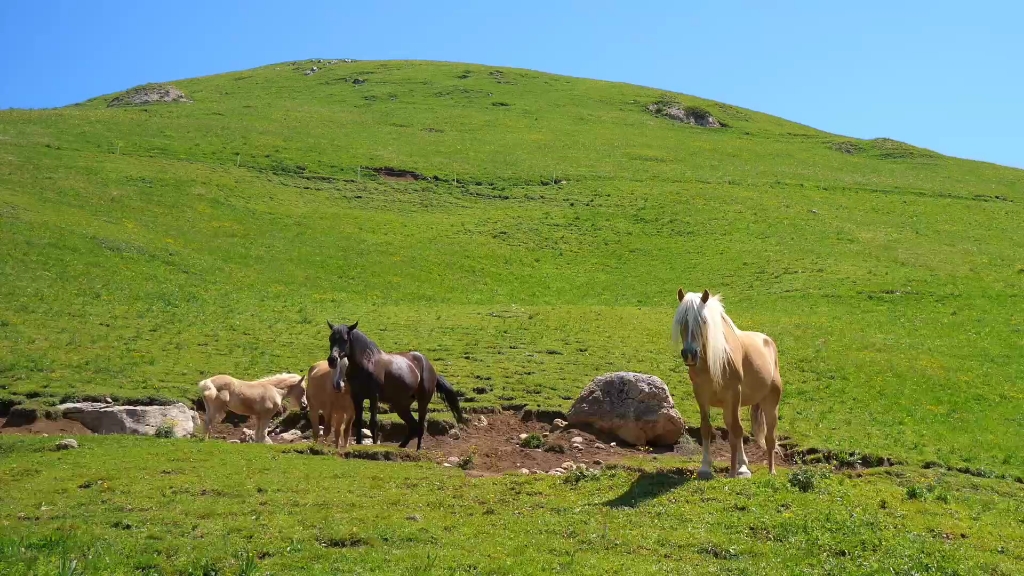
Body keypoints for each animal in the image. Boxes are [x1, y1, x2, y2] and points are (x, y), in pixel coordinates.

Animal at [325, 317, 466, 448]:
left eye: (345, 339)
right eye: (331, 339)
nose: (332, 360)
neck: (366, 363)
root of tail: (431, 369)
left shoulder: (374, 396)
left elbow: (373, 422)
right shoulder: (356, 397)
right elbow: (358, 422)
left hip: (422, 402)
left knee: (420, 427)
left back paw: (417, 450)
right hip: (401, 406)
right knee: (413, 427)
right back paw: (401, 447)